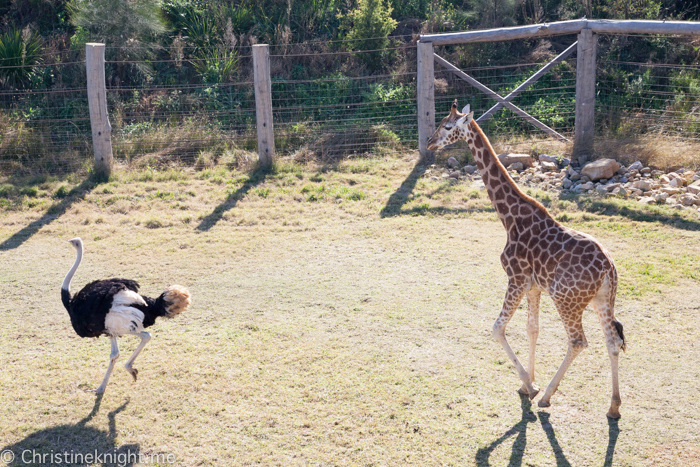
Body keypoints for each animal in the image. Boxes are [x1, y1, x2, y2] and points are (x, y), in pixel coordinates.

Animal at [426, 100, 628, 418]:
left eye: (447, 126)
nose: (430, 142)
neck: (509, 217)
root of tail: (608, 268)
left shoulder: (517, 278)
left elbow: (497, 328)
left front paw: (531, 386)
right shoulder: (534, 287)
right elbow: (532, 330)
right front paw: (526, 384)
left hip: (566, 299)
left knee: (578, 341)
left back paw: (547, 397)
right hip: (602, 299)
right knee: (613, 341)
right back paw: (614, 406)